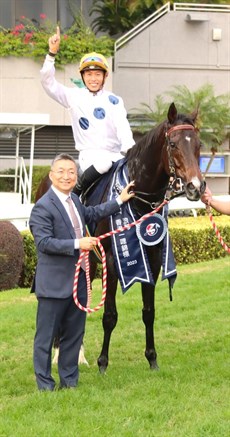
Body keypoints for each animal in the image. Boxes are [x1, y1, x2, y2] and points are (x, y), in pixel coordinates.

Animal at [33, 102, 205, 372]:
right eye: (173, 144)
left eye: (198, 144)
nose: (195, 187)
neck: (138, 199)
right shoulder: (113, 263)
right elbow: (110, 315)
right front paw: (103, 362)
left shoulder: (152, 261)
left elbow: (149, 312)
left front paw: (152, 359)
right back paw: (60, 353)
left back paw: (77, 354)